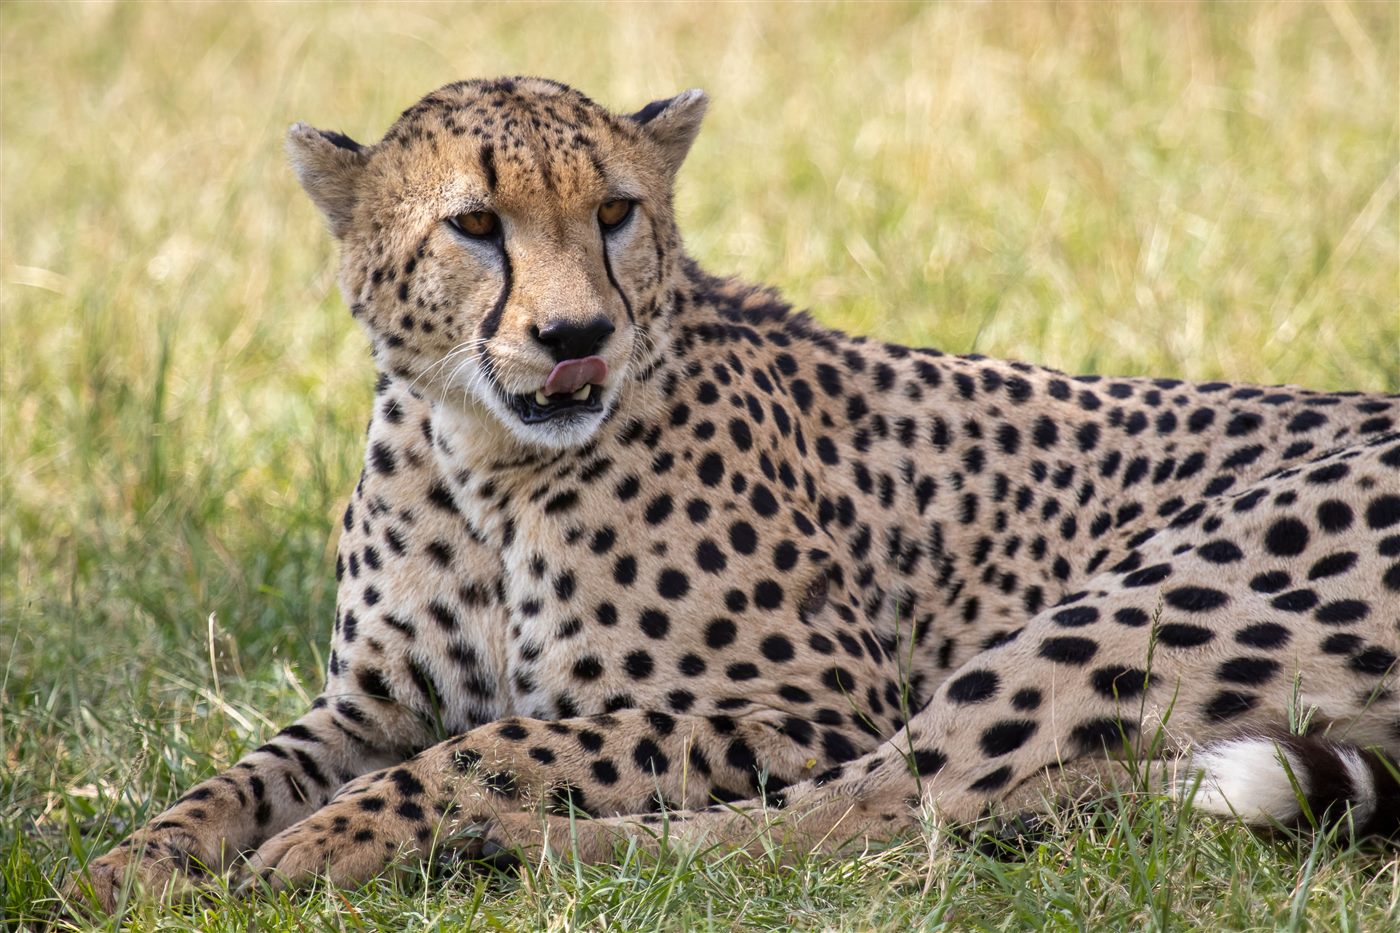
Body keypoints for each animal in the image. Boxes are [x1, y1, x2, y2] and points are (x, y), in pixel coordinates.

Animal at [79, 76, 1400, 912]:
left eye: (615, 212)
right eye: (474, 224)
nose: (575, 338)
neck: (482, 460)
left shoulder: (814, 701)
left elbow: (502, 742)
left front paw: (339, 837)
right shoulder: (371, 701)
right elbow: (244, 771)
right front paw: (131, 863)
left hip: (1151, 599)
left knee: (889, 813)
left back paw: (504, 847)